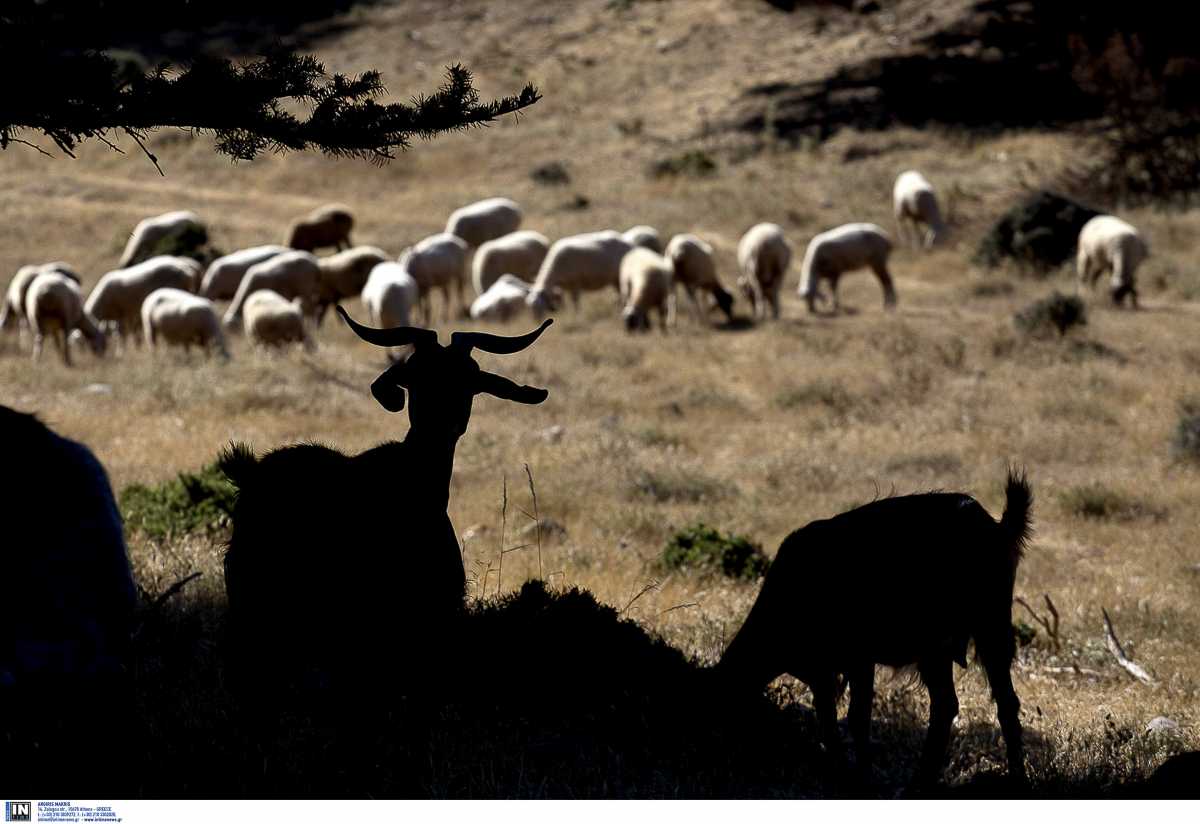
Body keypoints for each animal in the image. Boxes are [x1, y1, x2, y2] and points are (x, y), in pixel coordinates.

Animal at [715, 470, 1036, 786]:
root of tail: (997, 527)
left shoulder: (858, 659)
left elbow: (857, 717)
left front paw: (859, 777)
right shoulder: (822, 671)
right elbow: (828, 718)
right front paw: (839, 770)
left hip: (988, 625)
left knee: (998, 702)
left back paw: (1012, 778)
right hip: (938, 650)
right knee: (953, 704)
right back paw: (924, 782)